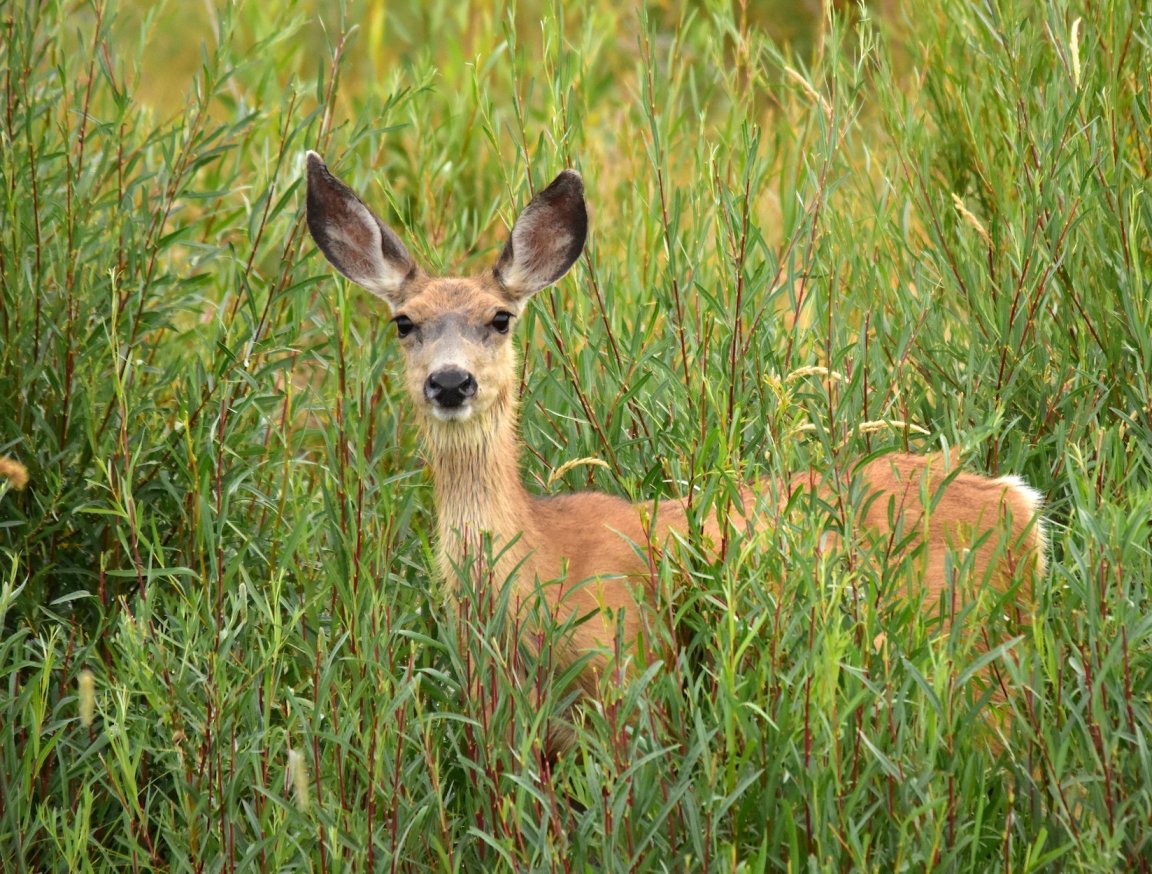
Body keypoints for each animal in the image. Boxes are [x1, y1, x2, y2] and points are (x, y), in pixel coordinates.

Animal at [303, 151, 1047, 754]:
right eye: (405, 322)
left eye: (501, 317)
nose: (451, 381)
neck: (535, 564)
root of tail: (1019, 502)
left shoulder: (629, 667)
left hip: (979, 644)